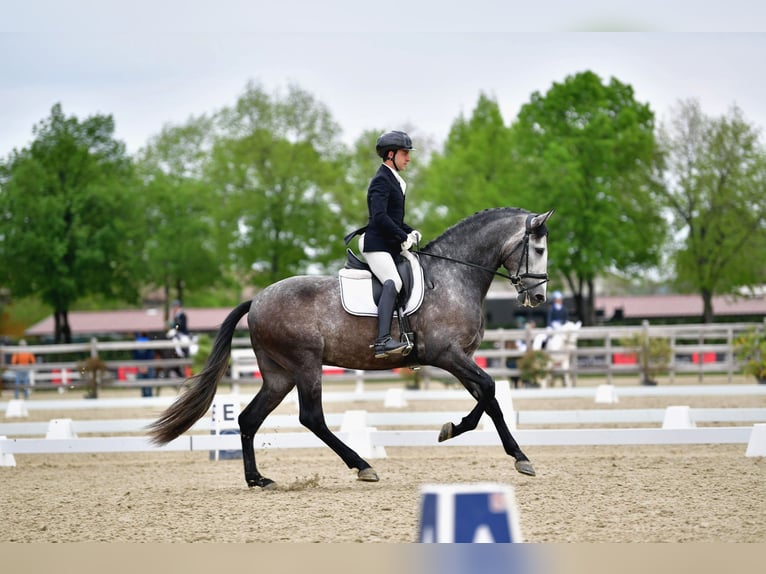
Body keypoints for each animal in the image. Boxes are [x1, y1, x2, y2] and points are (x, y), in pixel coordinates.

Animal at [148, 207, 554, 488]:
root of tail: (256, 300)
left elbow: (490, 399)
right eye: (538, 248)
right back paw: (362, 466)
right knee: (311, 418)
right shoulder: (447, 354)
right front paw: (458, 431)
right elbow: (489, 389)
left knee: (249, 419)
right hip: (306, 365)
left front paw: (511, 453)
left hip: (279, 375)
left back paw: (257, 479)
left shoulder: (462, 357)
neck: (455, 276)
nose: (538, 297)